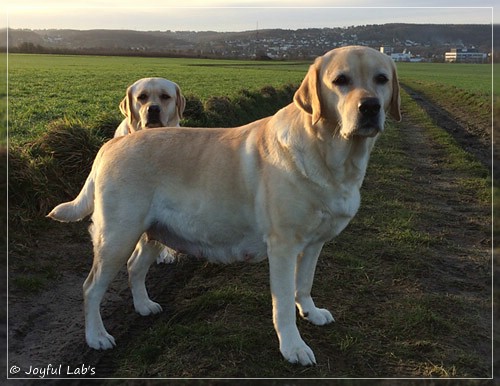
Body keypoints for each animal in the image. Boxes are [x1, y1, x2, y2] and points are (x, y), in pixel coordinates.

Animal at [47, 46, 398, 366]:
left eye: (381, 79)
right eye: (340, 80)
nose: (370, 107)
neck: (331, 154)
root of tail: (110, 143)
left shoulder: (313, 244)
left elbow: (304, 284)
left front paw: (311, 312)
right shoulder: (283, 246)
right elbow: (284, 302)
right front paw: (293, 347)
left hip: (152, 232)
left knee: (135, 267)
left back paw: (144, 305)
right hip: (118, 236)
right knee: (92, 288)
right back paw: (96, 337)